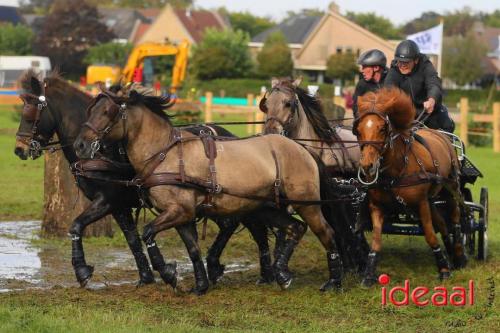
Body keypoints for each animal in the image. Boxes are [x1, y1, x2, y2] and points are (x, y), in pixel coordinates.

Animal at [73, 84, 348, 292]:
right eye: (90, 109)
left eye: (107, 111)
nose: (80, 145)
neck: (164, 154)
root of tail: (302, 148)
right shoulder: (183, 216)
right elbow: (192, 249)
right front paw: (200, 285)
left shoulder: (178, 211)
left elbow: (147, 232)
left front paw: (168, 272)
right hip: (264, 207)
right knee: (294, 228)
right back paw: (281, 273)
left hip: (306, 203)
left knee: (326, 233)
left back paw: (333, 281)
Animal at [354, 87, 466, 286]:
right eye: (358, 130)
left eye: (382, 129)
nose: (367, 166)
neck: (396, 170)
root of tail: (440, 135)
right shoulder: (377, 206)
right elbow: (376, 239)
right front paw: (368, 274)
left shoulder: (421, 203)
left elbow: (429, 234)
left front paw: (443, 270)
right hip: (431, 199)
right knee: (442, 224)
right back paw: (450, 252)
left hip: (450, 189)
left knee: (454, 219)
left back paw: (459, 256)